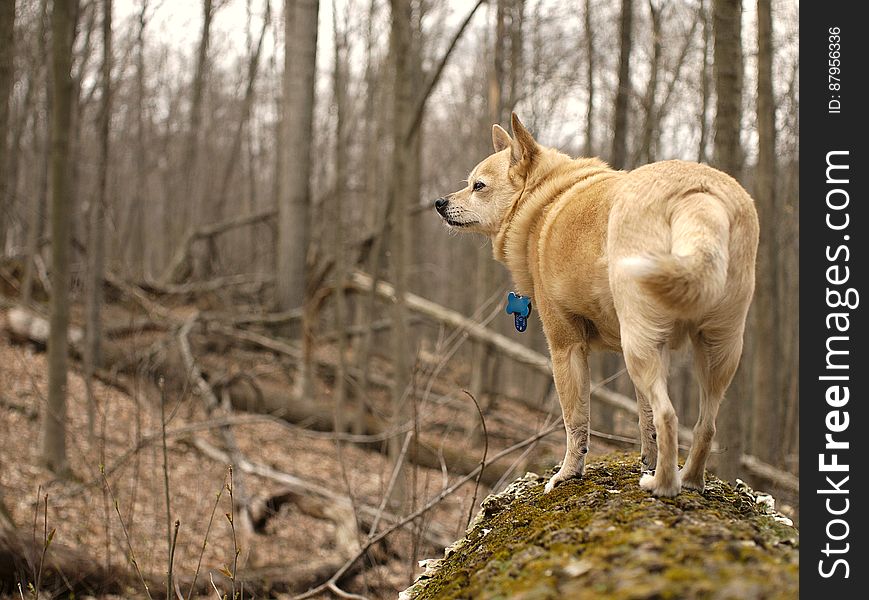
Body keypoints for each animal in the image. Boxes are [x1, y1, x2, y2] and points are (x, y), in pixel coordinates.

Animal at [438, 113, 756, 496]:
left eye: (478, 186)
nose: (439, 202)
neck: (545, 199)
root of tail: (699, 195)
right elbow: (645, 419)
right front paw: (645, 460)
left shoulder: (565, 347)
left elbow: (576, 421)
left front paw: (567, 474)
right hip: (717, 349)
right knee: (704, 425)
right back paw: (691, 480)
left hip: (639, 347)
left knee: (669, 415)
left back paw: (663, 485)